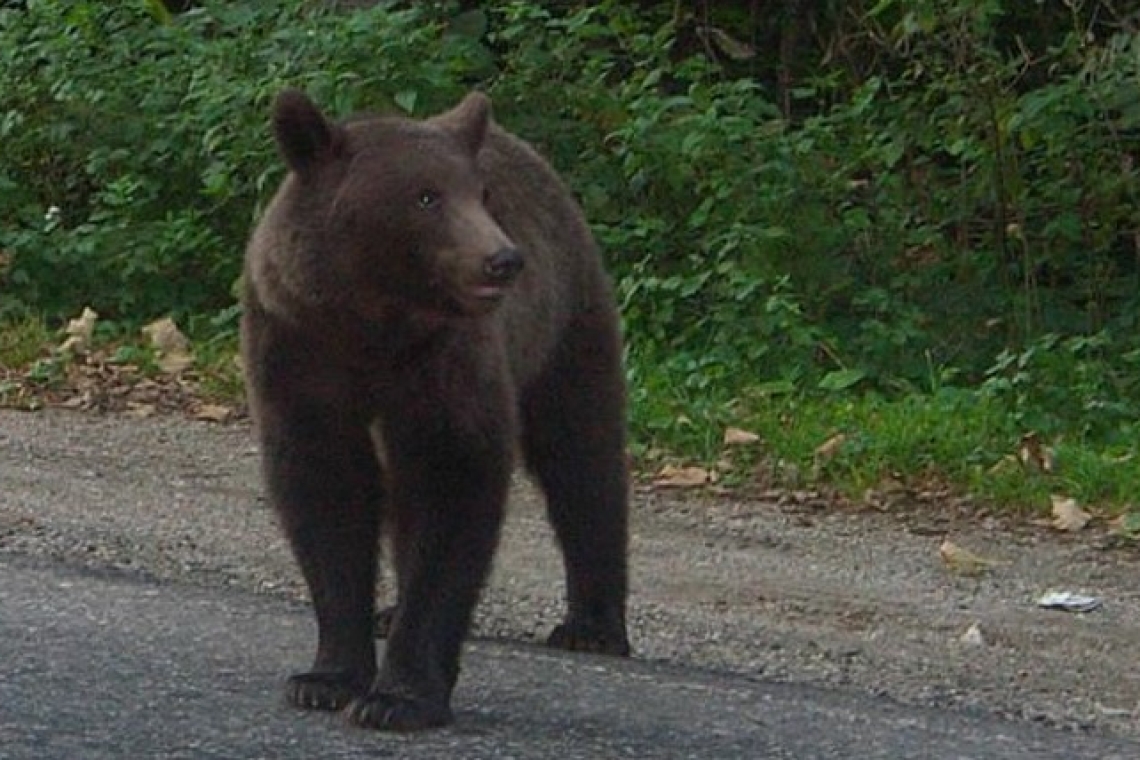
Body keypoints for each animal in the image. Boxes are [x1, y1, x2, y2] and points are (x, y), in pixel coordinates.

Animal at [241, 87, 633, 729]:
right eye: (425, 195)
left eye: (481, 194)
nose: (503, 259)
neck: (373, 324)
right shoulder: (299, 347)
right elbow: (325, 494)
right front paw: (326, 678)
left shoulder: (446, 364)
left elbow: (452, 488)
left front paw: (398, 697)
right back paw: (387, 611)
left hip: (566, 326)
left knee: (581, 459)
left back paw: (592, 625)